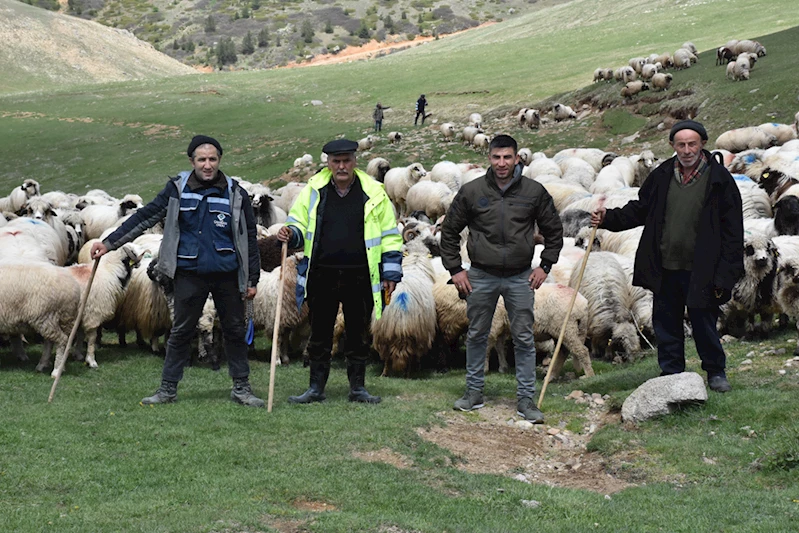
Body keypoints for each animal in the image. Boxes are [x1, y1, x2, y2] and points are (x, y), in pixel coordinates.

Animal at [370, 239, 434, 376]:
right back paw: (409, 374)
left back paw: (384, 374)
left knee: (387, 356)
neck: (415, 260)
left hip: (383, 333)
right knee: (412, 356)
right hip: (417, 336)